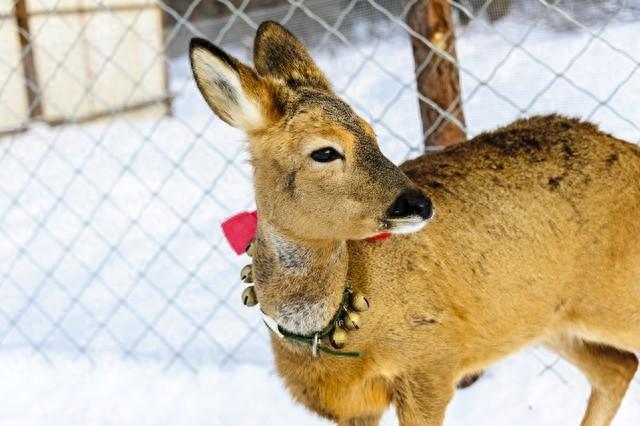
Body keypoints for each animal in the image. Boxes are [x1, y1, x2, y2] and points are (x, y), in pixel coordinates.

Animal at [190, 22, 640, 426]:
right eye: (324, 152)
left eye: (372, 133)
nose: (419, 203)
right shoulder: (353, 405)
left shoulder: (432, 360)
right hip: (546, 320)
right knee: (617, 371)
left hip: (615, 298)